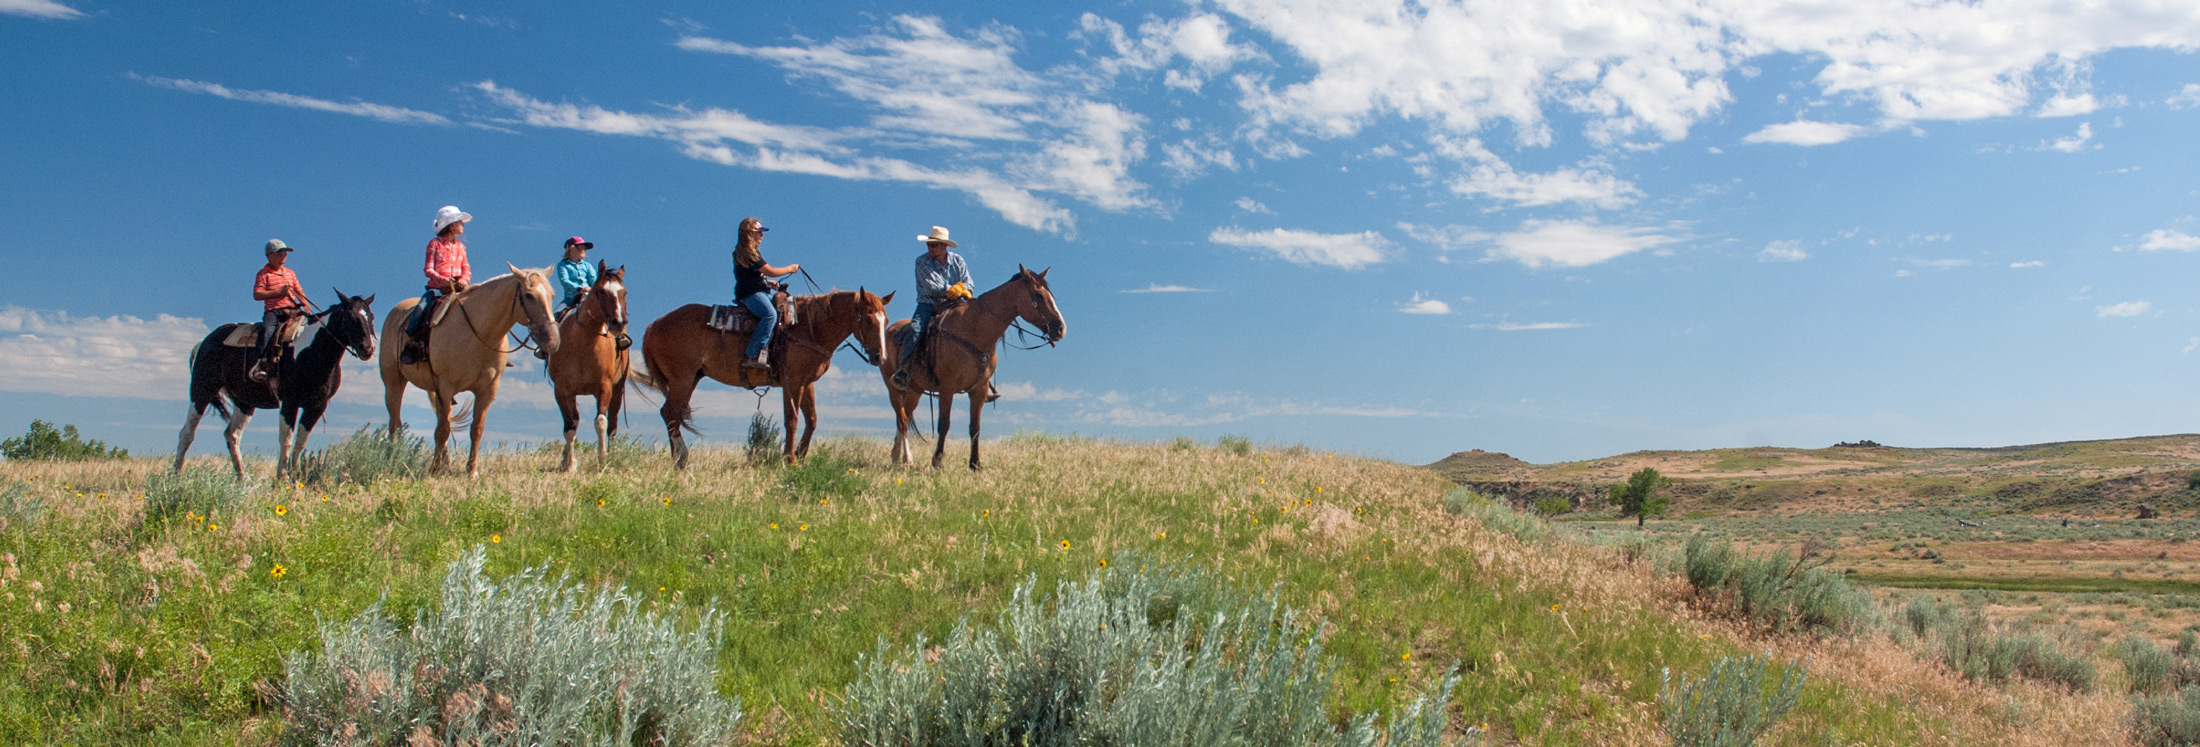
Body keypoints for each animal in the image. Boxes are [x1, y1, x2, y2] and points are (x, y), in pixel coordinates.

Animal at [171, 292, 378, 478]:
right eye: (350, 318)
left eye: (371, 316)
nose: (367, 349)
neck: (313, 352)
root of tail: (204, 342)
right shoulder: (290, 402)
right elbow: (286, 439)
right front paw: (282, 478)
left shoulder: (317, 406)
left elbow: (301, 442)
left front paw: (296, 478)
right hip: (201, 391)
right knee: (187, 433)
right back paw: (176, 476)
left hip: (245, 402)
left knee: (232, 435)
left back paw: (243, 478)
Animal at [376, 262, 558, 474]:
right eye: (529, 295)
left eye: (552, 295)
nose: (553, 339)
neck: (478, 334)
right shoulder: (446, 387)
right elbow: (442, 431)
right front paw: (434, 469)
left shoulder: (487, 390)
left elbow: (475, 429)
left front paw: (471, 470)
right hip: (393, 382)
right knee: (395, 424)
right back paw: (393, 459)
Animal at [547, 262, 633, 472]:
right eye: (601, 291)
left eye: (624, 292)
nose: (619, 323)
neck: (583, 342)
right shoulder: (562, 390)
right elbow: (570, 425)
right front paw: (570, 464)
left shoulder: (605, 387)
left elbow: (601, 422)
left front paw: (602, 460)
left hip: (617, 389)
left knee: (612, 424)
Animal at [629, 287, 893, 465]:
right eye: (868, 318)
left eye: (886, 320)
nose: (880, 357)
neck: (810, 328)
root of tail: (653, 325)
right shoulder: (792, 381)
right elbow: (792, 419)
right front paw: (790, 460)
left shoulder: (806, 383)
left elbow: (812, 420)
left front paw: (801, 455)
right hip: (681, 379)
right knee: (670, 414)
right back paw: (681, 458)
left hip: (691, 378)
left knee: (671, 414)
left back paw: (679, 459)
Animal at [884, 265, 1073, 470]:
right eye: (1038, 295)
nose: (1060, 329)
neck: (973, 330)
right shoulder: (947, 387)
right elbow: (944, 423)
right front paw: (938, 461)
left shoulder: (979, 389)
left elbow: (975, 427)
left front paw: (975, 464)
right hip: (893, 388)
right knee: (902, 417)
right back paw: (905, 458)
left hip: (915, 389)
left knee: (903, 415)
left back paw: (897, 456)